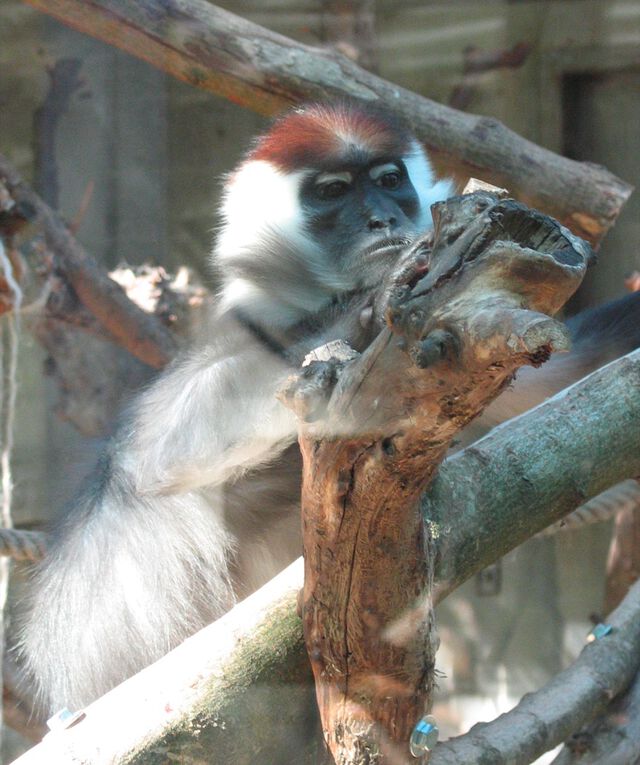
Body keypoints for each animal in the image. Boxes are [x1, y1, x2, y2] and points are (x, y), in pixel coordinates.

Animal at [18, 101, 640, 716]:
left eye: (389, 182)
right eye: (333, 192)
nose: (382, 221)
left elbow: (570, 372)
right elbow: (160, 450)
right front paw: (374, 297)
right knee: (131, 495)